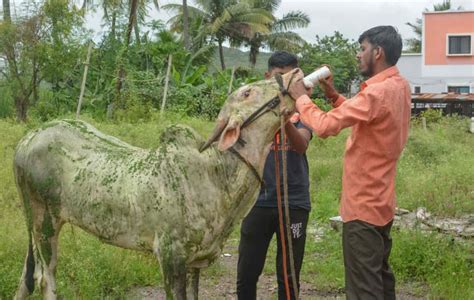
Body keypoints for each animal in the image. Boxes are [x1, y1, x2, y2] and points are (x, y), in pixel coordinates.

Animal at [14, 69, 302, 298]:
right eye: (247, 92)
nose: (295, 73)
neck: (217, 174)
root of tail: (28, 138)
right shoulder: (170, 256)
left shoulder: (195, 262)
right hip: (43, 222)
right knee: (44, 278)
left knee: (26, 277)